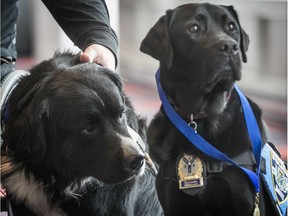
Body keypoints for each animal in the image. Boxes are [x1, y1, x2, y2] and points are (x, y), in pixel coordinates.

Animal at [140, 3, 276, 216]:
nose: (230, 47)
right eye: (193, 28)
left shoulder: (247, 201)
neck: (200, 117)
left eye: (231, 26)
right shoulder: (174, 203)